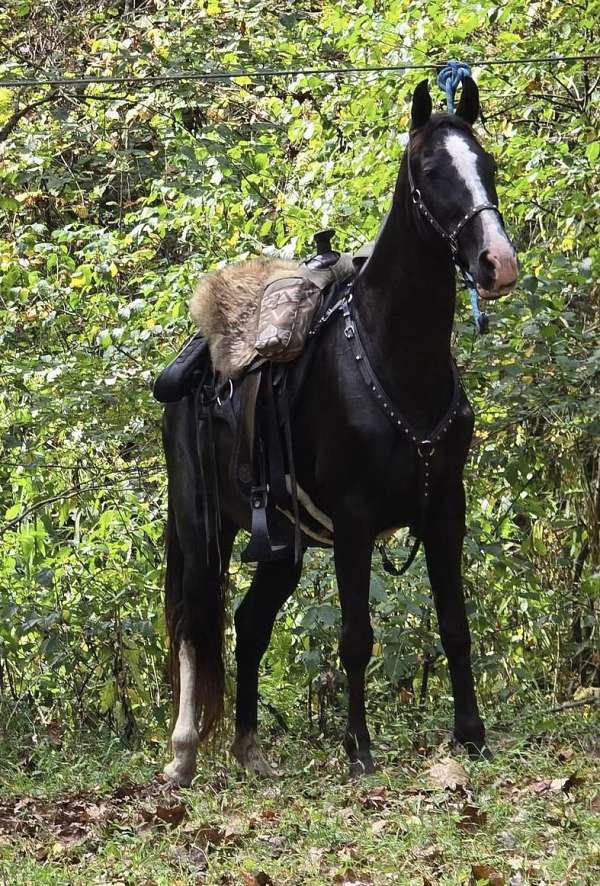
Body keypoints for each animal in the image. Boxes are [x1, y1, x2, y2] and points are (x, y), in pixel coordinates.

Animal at [160, 76, 518, 786]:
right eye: (430, 171)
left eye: (486, 164)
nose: (498, 262)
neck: (393, 360)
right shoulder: (354, 520)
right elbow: (356, 638)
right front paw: (358, 749)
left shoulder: (446, 509)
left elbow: (455, 625)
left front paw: (472, 736)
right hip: (202, 527)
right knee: (193, 619)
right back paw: (184, 755)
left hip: (281, 547)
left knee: (248, 623)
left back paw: (249, 748)